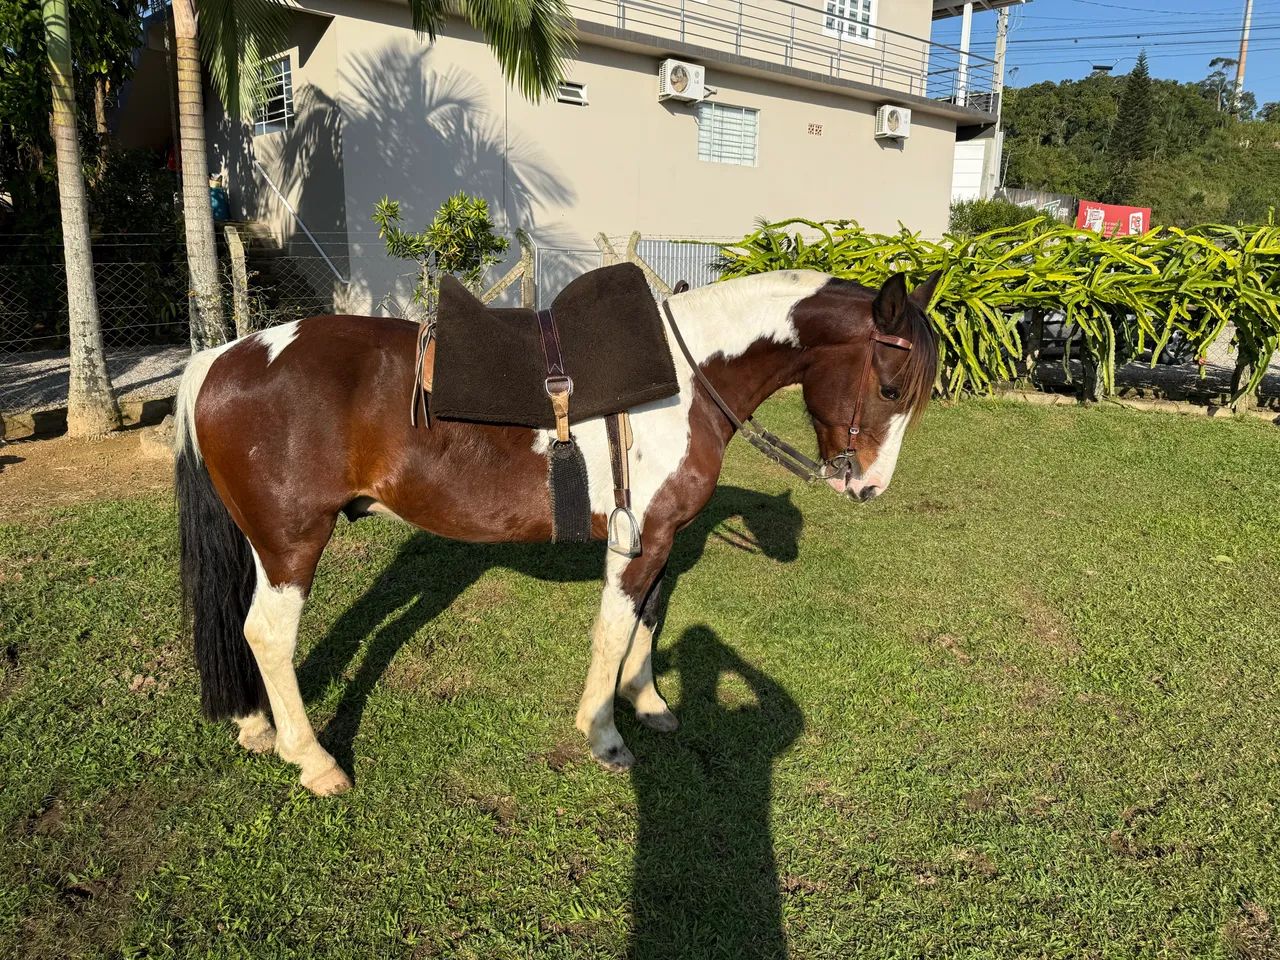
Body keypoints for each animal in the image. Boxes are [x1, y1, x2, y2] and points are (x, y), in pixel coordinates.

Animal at [174, 268, 940, 795]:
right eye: (891, 389)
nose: (868, 487)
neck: (686, 382)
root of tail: (224, 357)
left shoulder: (660, 540)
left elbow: (649, 621)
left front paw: (649, 702)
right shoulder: (641, 539)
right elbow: (615, 629)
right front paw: (604, 733)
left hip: (262, 545)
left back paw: (256, 724)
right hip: (292, 544)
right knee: (268, 635)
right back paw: (314, 760)